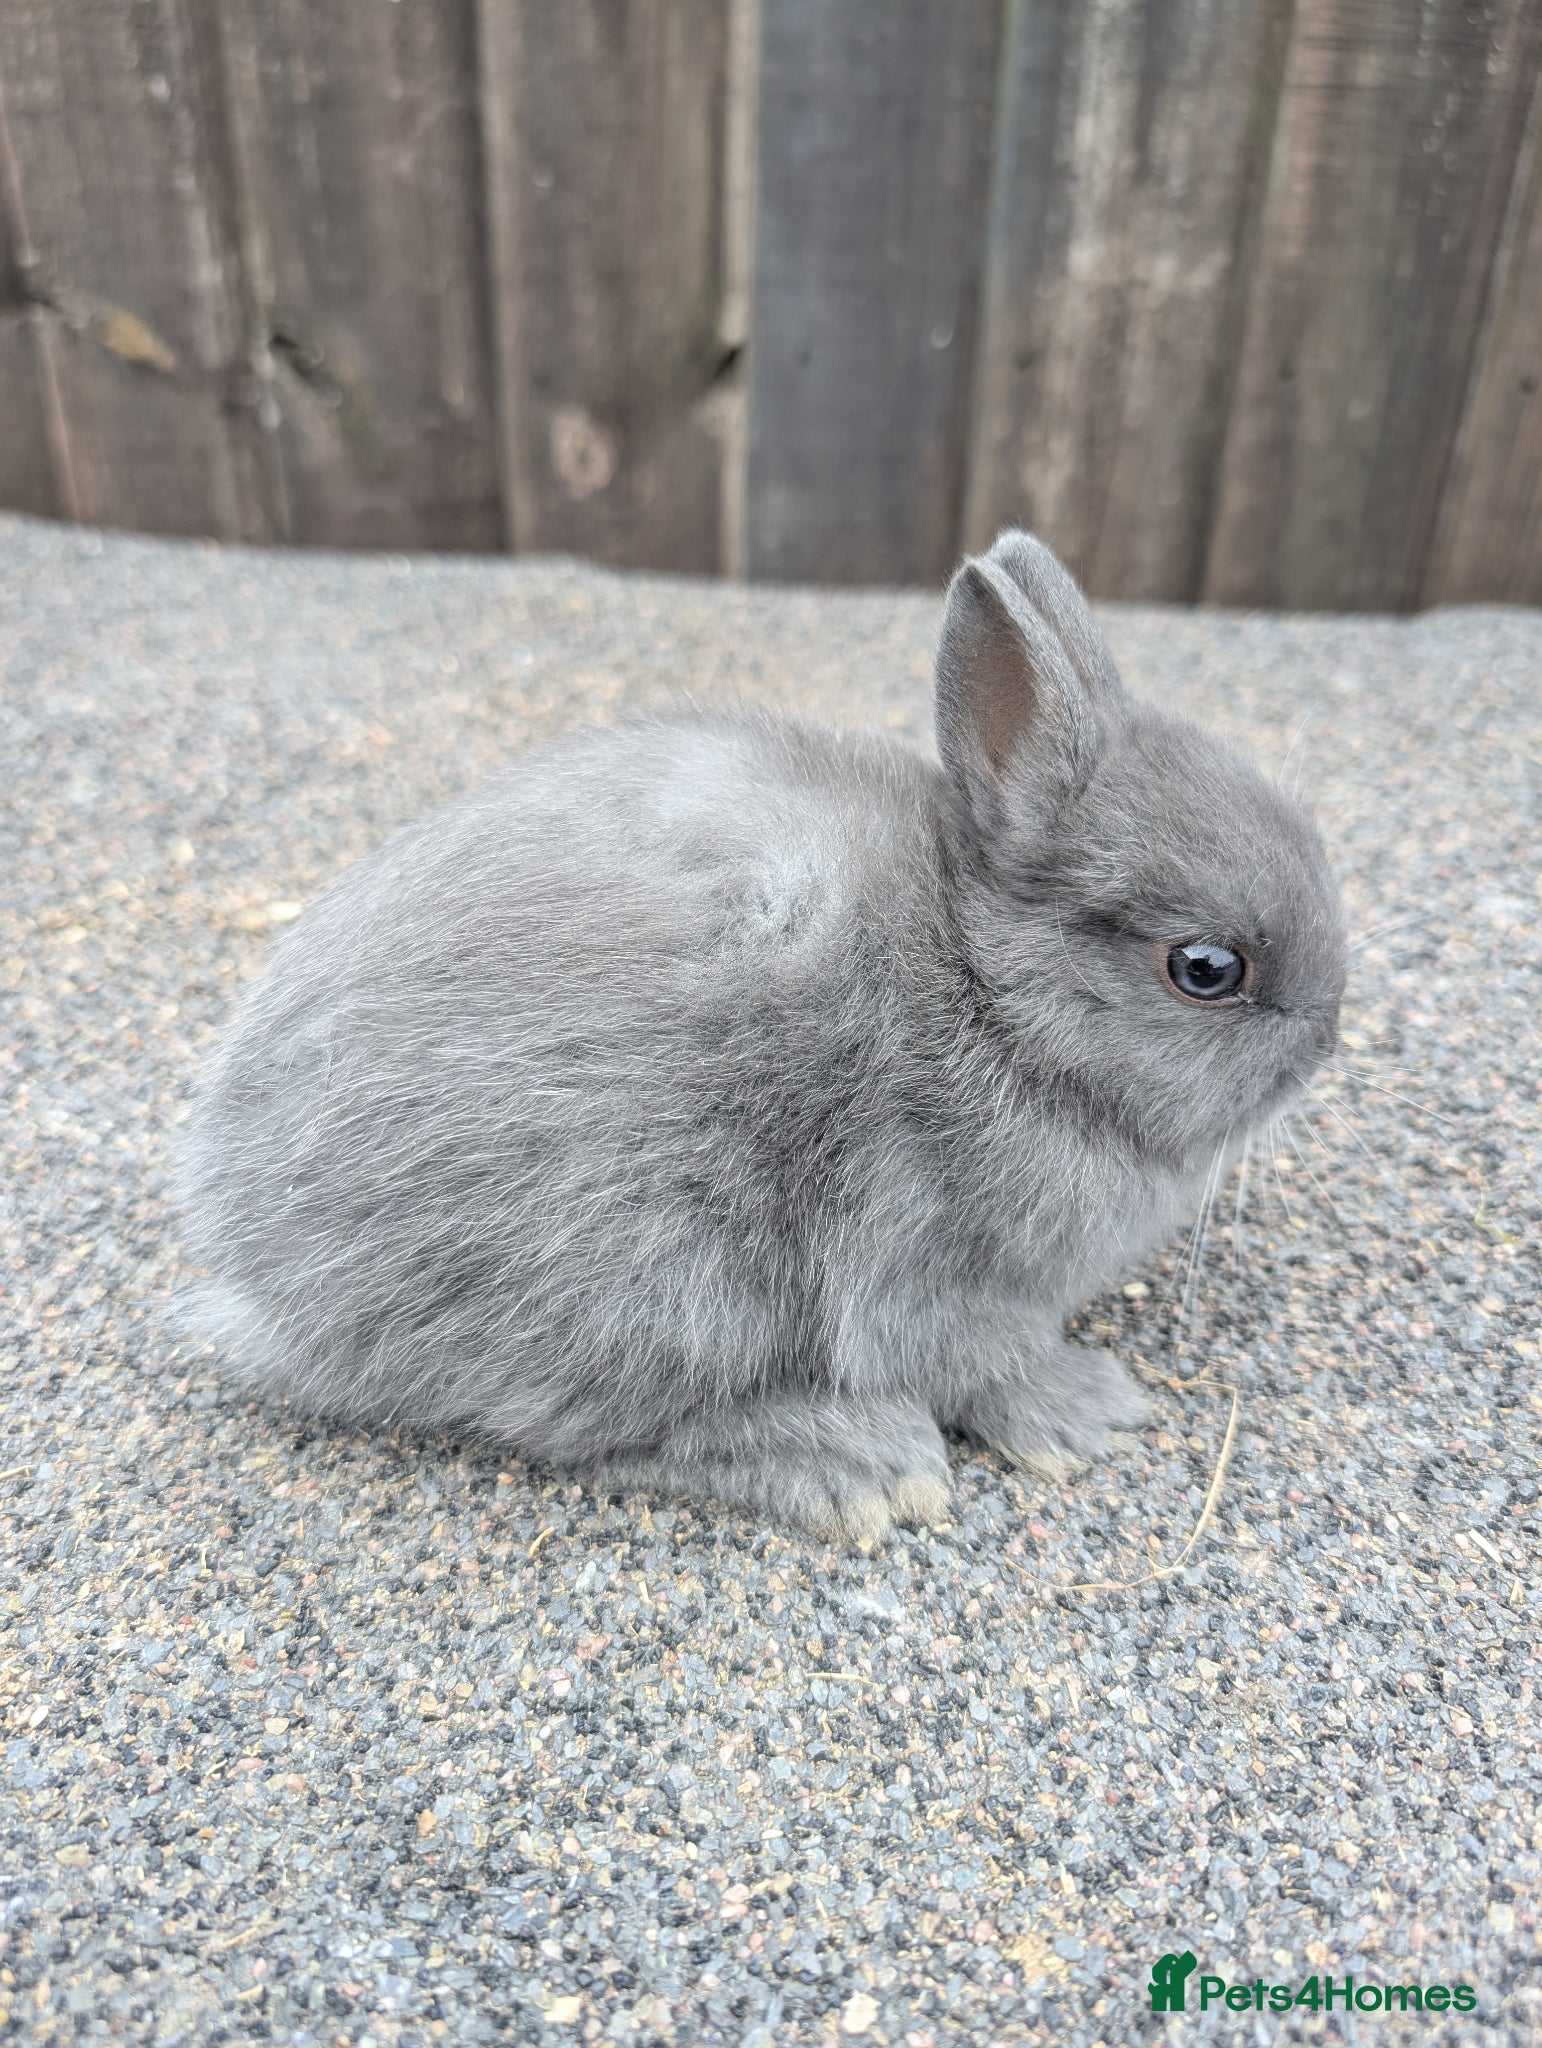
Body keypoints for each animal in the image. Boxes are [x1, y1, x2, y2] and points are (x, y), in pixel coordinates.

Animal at [179, 530, 1346, 1541]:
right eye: (1207, 970)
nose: (1326, 1042)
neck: (994, 996)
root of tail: (260, 1284)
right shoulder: (926, 1258)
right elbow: (983, 1361)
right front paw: (1088, 1414)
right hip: (657, 1271)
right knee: (595, 1427)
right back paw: (856, 1464)